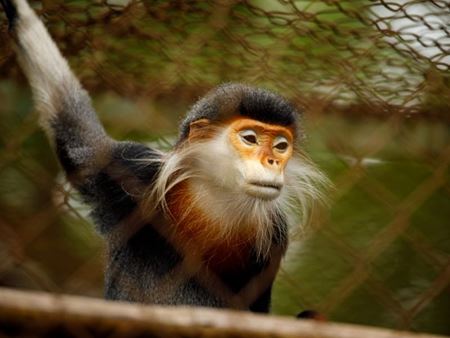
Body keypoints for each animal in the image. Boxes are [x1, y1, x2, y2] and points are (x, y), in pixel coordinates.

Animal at [0, 0, 326, 312]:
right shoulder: (130, 169)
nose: (272, 161)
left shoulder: (276, 235)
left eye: (281, 145)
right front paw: (18, 10)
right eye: (250, 138)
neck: (213, 197)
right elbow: (72, 127)